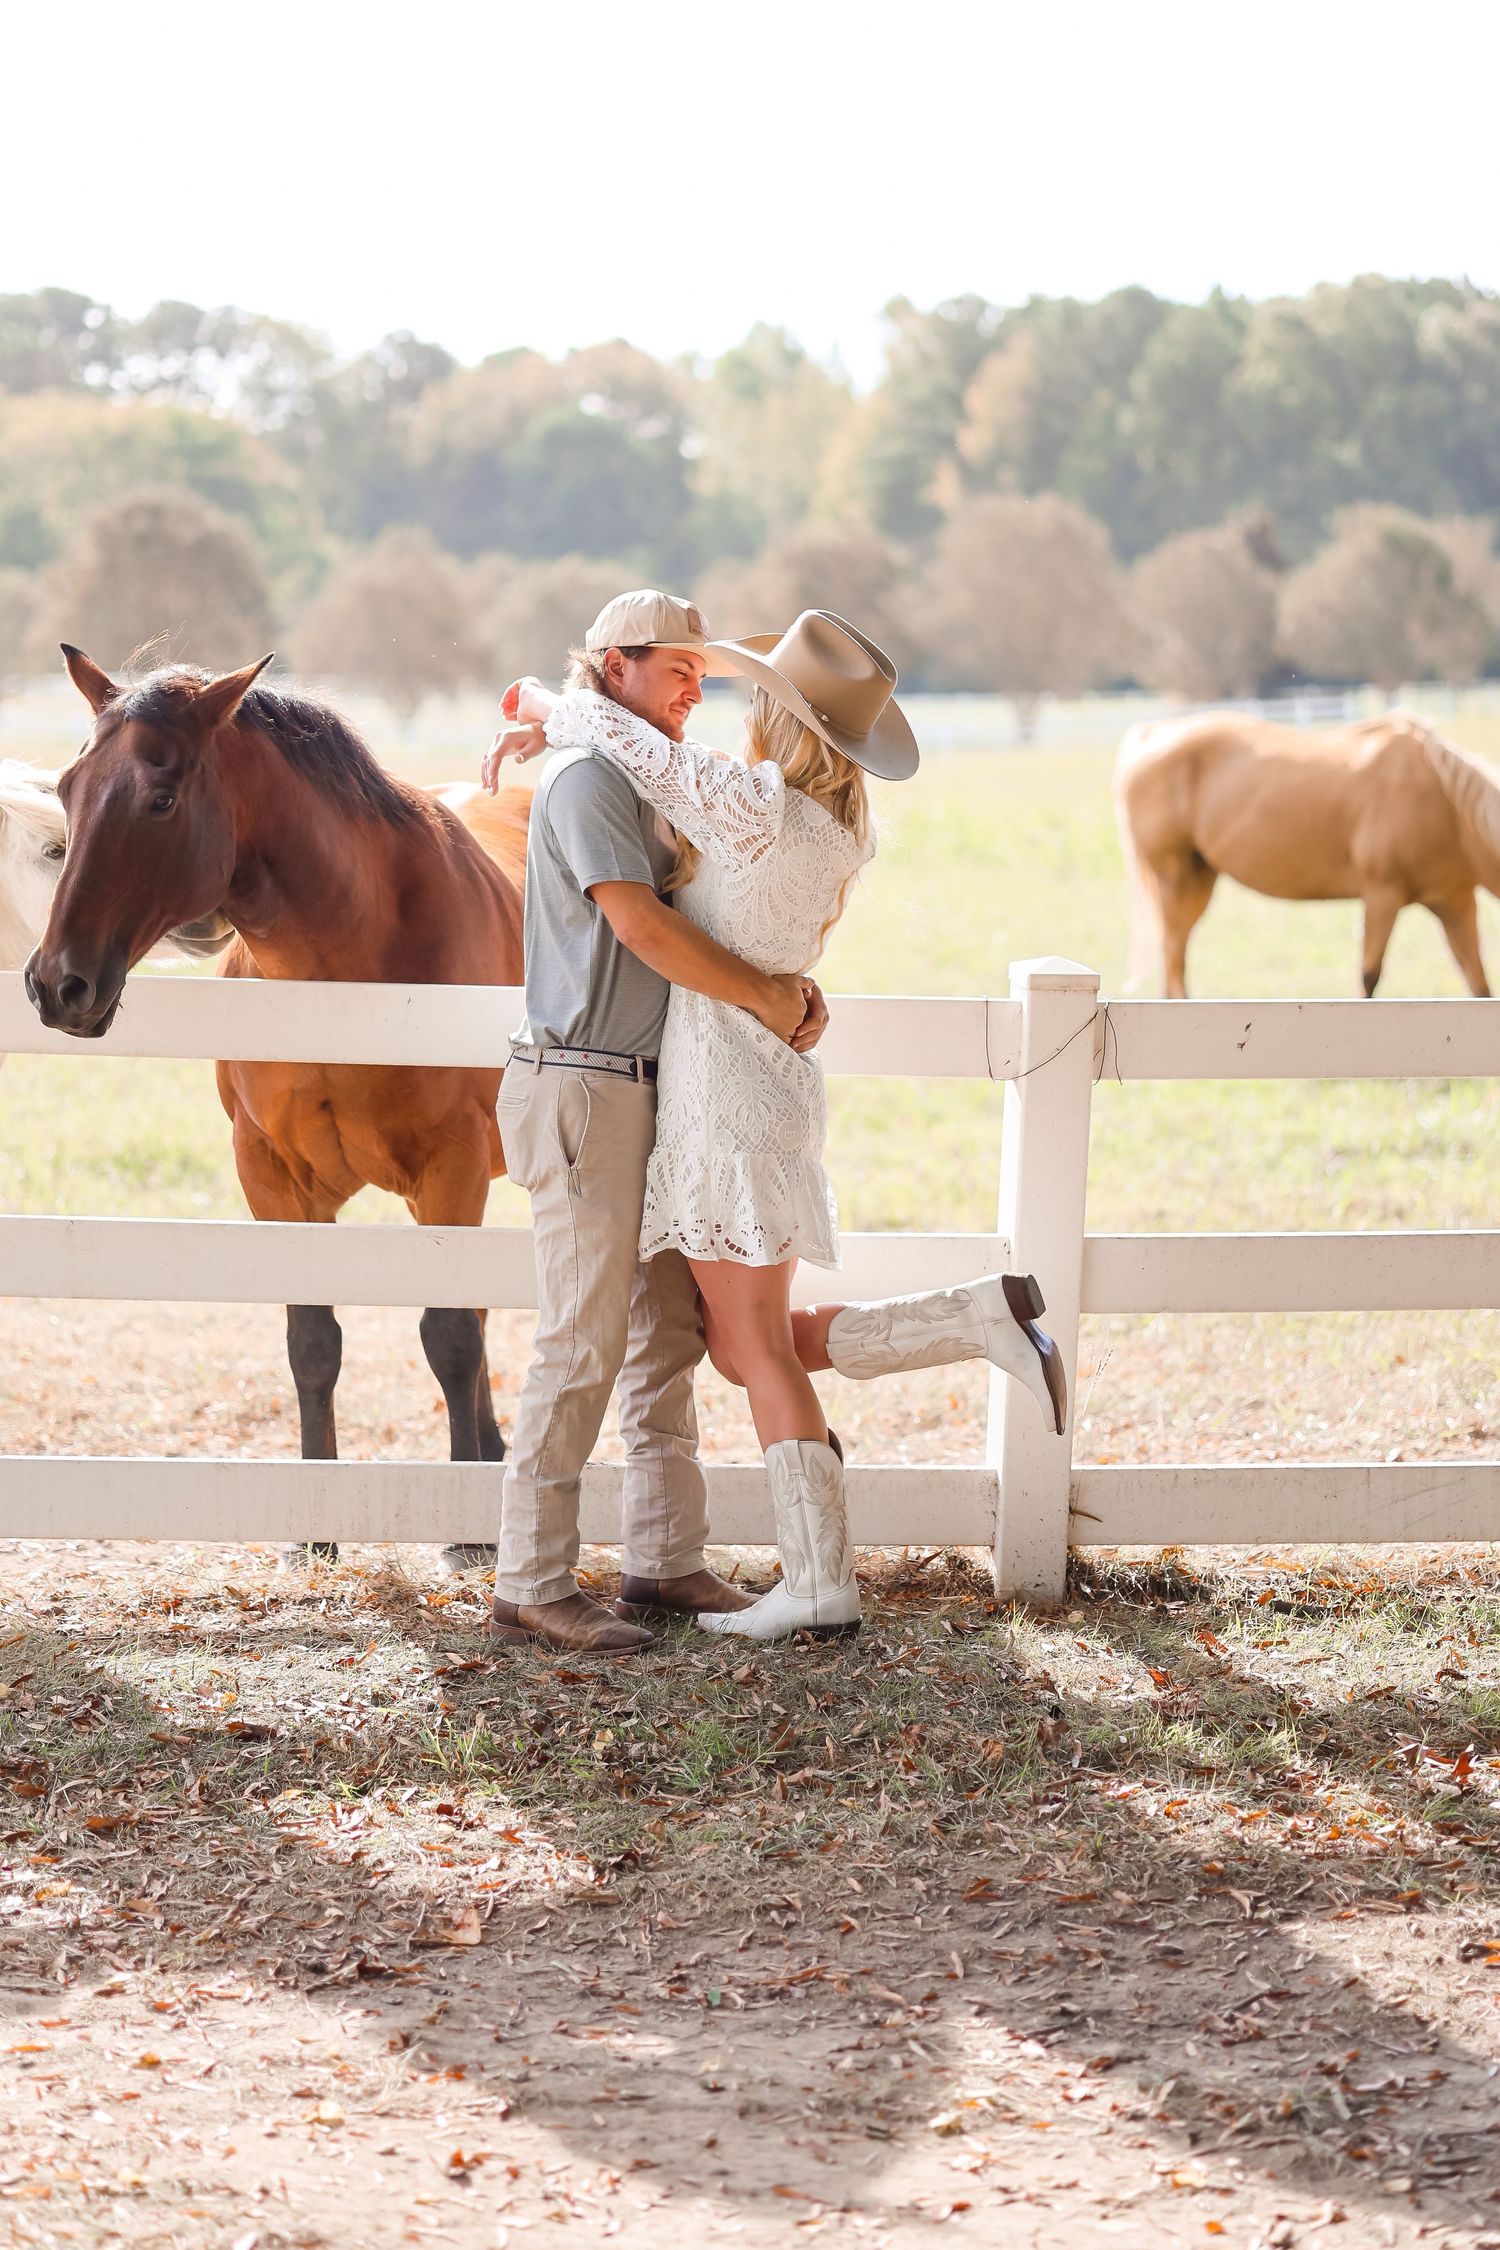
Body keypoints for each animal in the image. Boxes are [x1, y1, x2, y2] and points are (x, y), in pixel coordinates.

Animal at [26, 647, 529, 1568]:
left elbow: (447, 1334)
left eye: (161, 798)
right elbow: (313, 1343)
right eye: (71, 788)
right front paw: (315, 1531)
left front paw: (467, 1536)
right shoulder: (272, 1177)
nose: (56, 985)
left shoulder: (453, 1166)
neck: (348, 968)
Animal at [1114, 710, 1500, 999]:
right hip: (1174, 881)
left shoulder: (1456, 903)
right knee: (1172, 958)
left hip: (1197, 883)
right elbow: (1369, 977)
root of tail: (1151, 733)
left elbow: (1478, 983)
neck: (1445, 805)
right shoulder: (1382, 897)